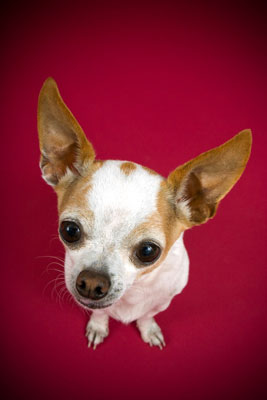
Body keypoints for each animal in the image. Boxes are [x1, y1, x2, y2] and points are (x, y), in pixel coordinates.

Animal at [37, 77, 253, 346]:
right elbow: (101, 312)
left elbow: (146, 315)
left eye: (148, 251)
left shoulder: (163, 301)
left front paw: (148, 329)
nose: (91, 283)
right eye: (69, 230)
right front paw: (99, 325)